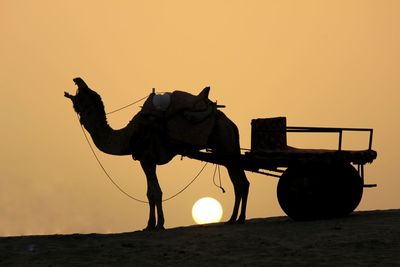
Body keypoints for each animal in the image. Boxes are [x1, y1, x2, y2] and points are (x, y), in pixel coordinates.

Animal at [64, 77, 248, 230]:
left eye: (85, 93)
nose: (77, 79)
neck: (129, 135)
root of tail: (230, 123)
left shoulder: (147, 159)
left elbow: (155, 193)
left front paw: (157, 224)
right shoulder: (146, 161)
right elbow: (150, 194)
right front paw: (151, 225)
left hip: (225, 146)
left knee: (240, 182)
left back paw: (237, 218)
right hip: (228, 151)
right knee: (240, 182)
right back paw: (235, 219)